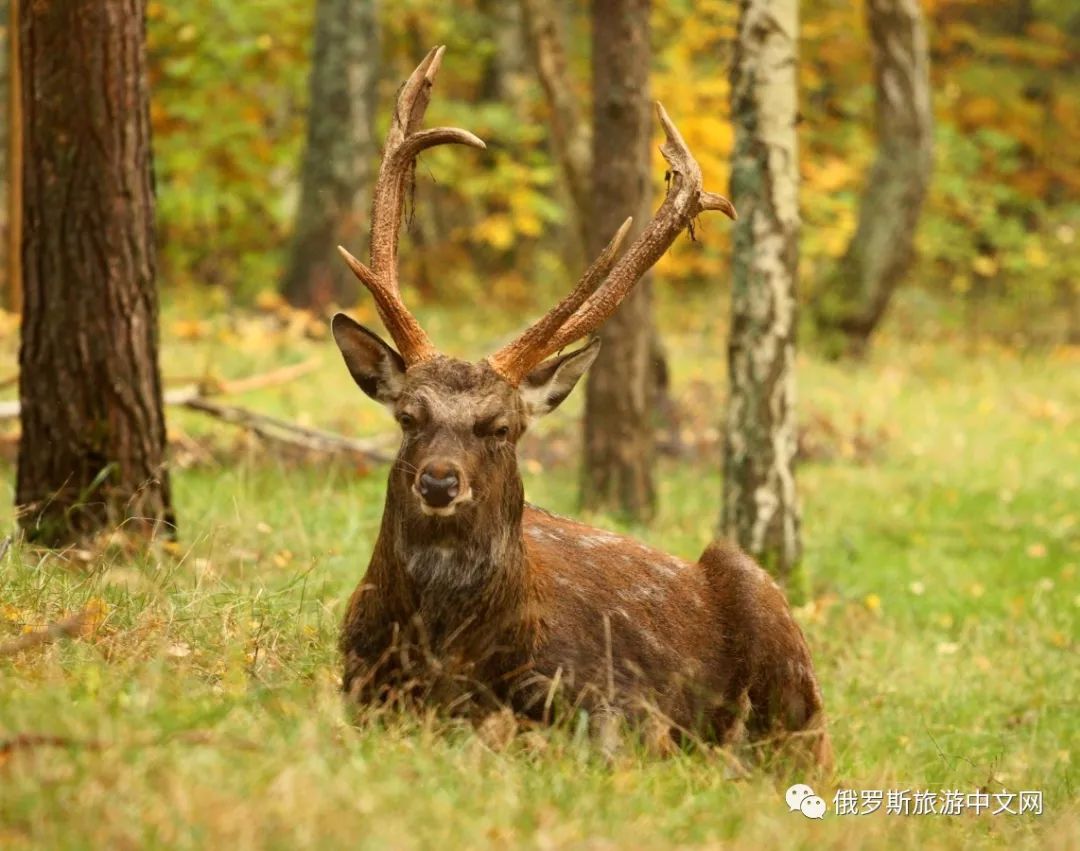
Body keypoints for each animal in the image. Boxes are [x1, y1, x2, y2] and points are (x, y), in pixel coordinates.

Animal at [332, 43, 829, 768]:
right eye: (408, 417)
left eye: (500, 427)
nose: (439, 480)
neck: (448, 656)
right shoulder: (352, 676)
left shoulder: (623, 703)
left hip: (773, 623)